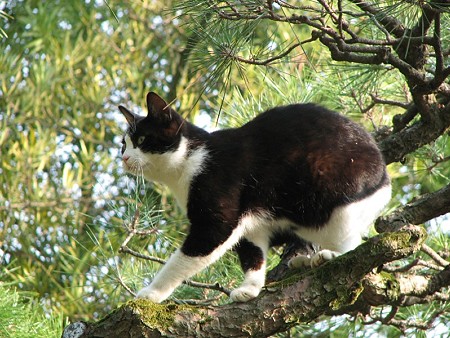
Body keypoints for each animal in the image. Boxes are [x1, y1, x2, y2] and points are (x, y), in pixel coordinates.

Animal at [118, 91, 390, 302]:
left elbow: (183, 259)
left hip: (333, 197)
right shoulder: (250, 223)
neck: (189, 162)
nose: (124, 157)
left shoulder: (218, 216)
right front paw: (250, 288)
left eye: (142, 139)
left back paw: (330, 256)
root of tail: (384, 177)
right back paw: (304, 260)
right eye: (124, 143)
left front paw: (151, 293)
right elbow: (253, 255)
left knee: (352, 244)